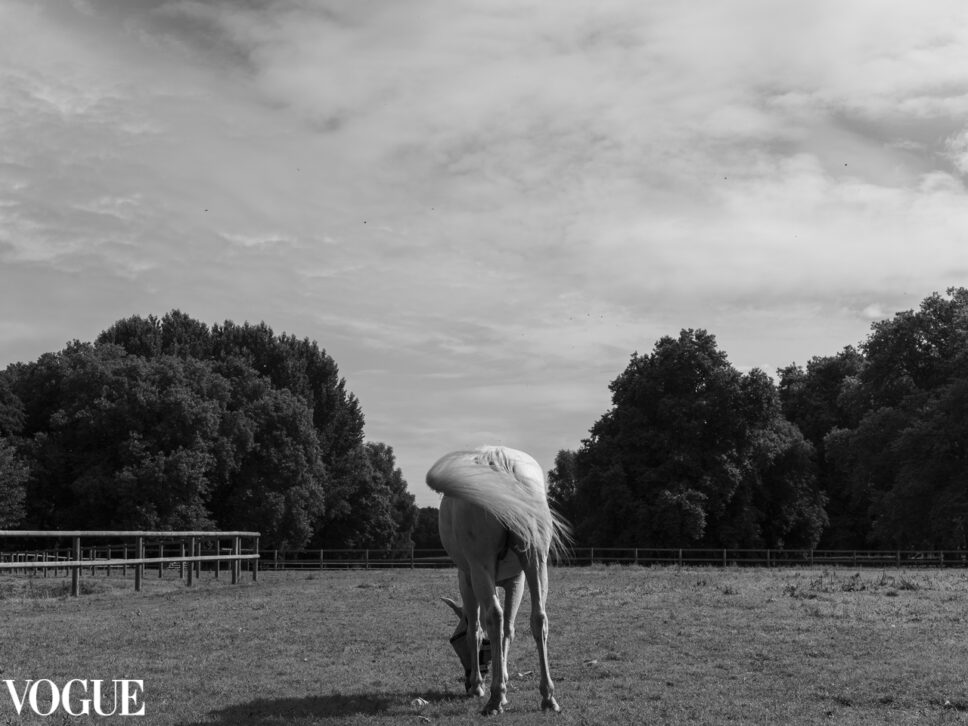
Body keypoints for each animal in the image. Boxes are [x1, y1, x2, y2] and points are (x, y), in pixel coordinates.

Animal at [426, 445, 570, 715]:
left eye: (455, 642)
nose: (467, 679)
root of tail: (501, 461)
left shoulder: (467, 579)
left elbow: (475, 629)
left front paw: (479, 686)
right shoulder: (516, 580)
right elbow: (508, 631)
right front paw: (501, 682)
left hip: (480, 568)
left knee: (493, 618)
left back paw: (492, 698)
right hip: (536, 562)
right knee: (538, 619)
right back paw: (547, 696)